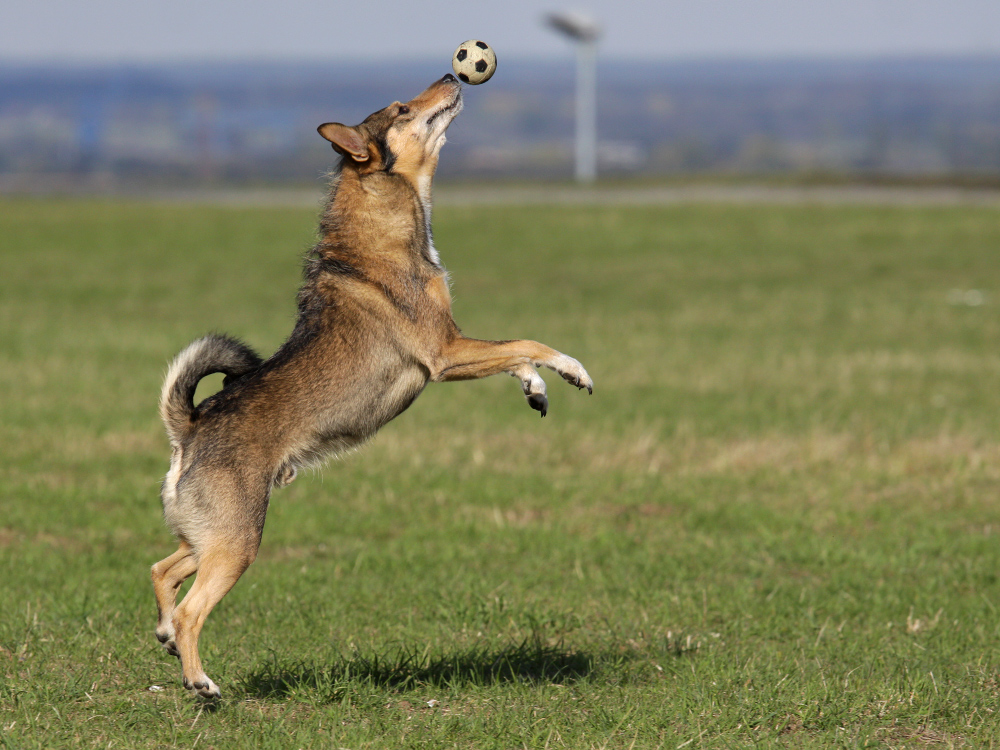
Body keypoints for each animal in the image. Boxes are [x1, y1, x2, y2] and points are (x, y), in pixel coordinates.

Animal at [154, 73, 592, 704]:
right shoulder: (445, 352)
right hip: (236, 541)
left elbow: (515, 355)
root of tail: (190, 427)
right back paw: (200, 682)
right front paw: (571, 369)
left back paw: (164, 635)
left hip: (204, 538)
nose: (454, 74)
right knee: (193, 610)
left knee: (161, 571)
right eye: (402, 108)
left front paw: (536, 387)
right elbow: (525, 342)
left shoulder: (456, 349)